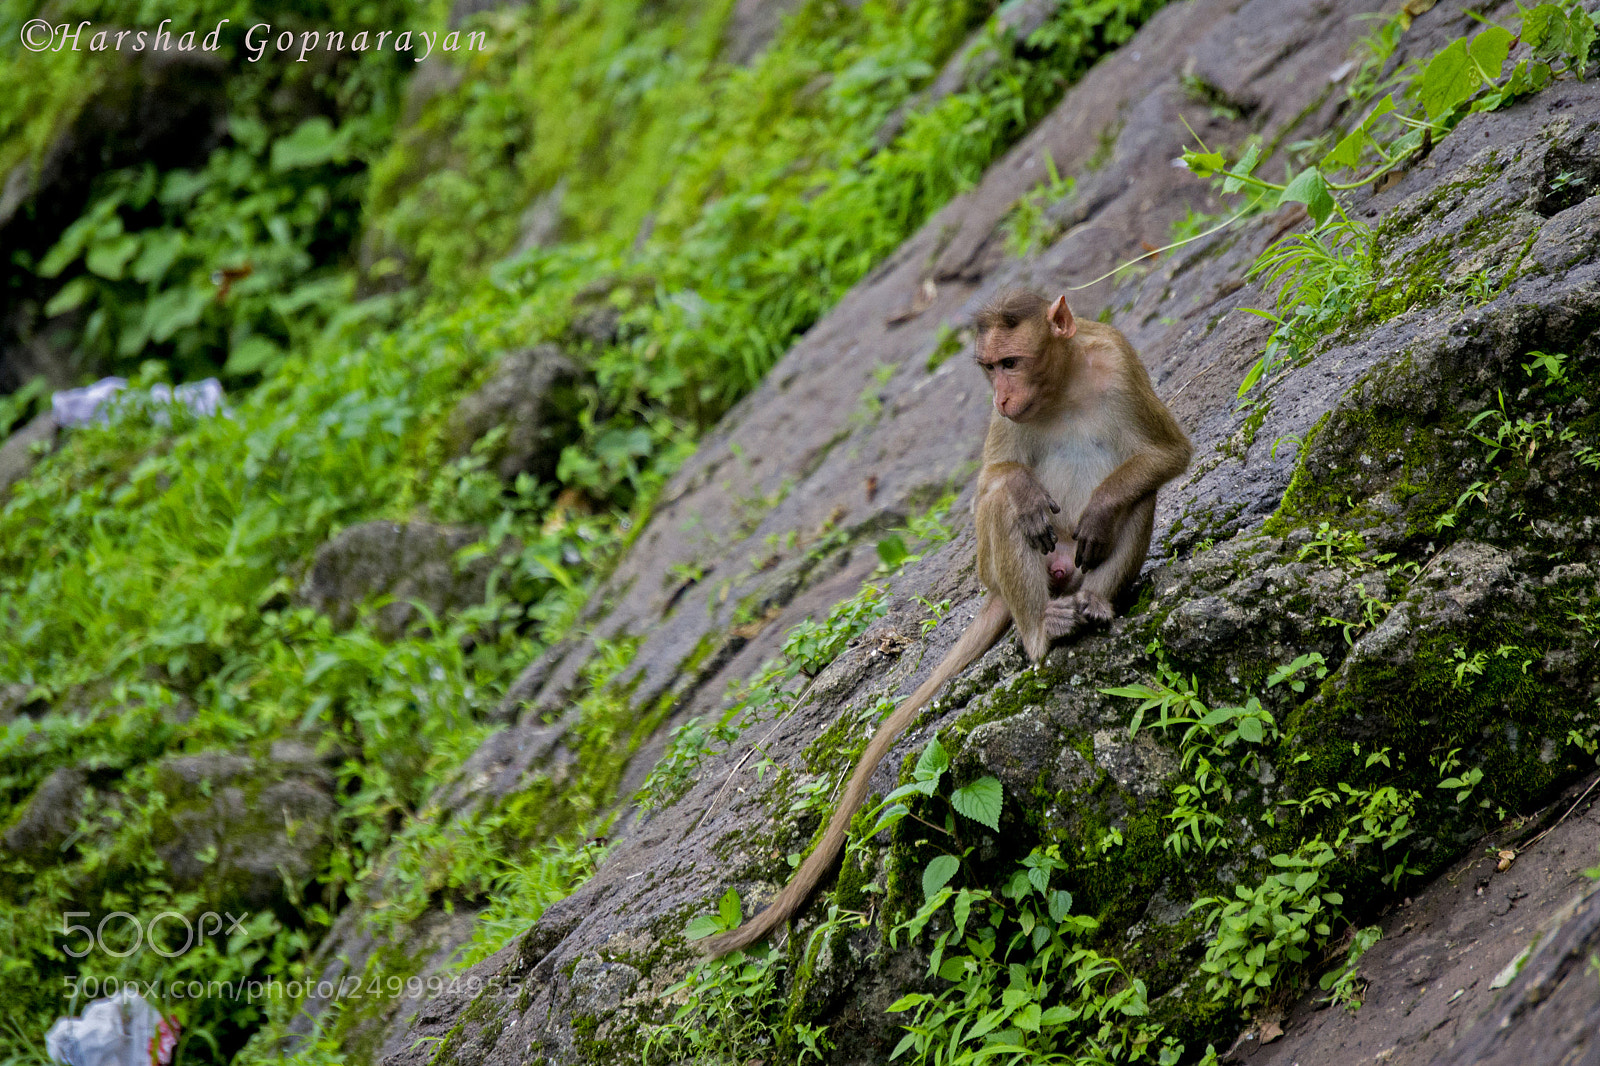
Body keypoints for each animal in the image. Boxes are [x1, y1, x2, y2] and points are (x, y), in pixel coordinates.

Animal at [699, 289, 1191, 957]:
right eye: (988, 369)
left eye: (1010, 362)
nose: (1001, 399)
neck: (1060, 388)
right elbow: (995, 491)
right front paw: (1018, 489)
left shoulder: (1118, 358)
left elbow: (1166, 455)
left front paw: (1103, 509)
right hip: (1016, 580)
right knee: (1006, 513)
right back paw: (1043, 630)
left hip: (1072, 568)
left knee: (1132, 497)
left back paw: (1094, 601)